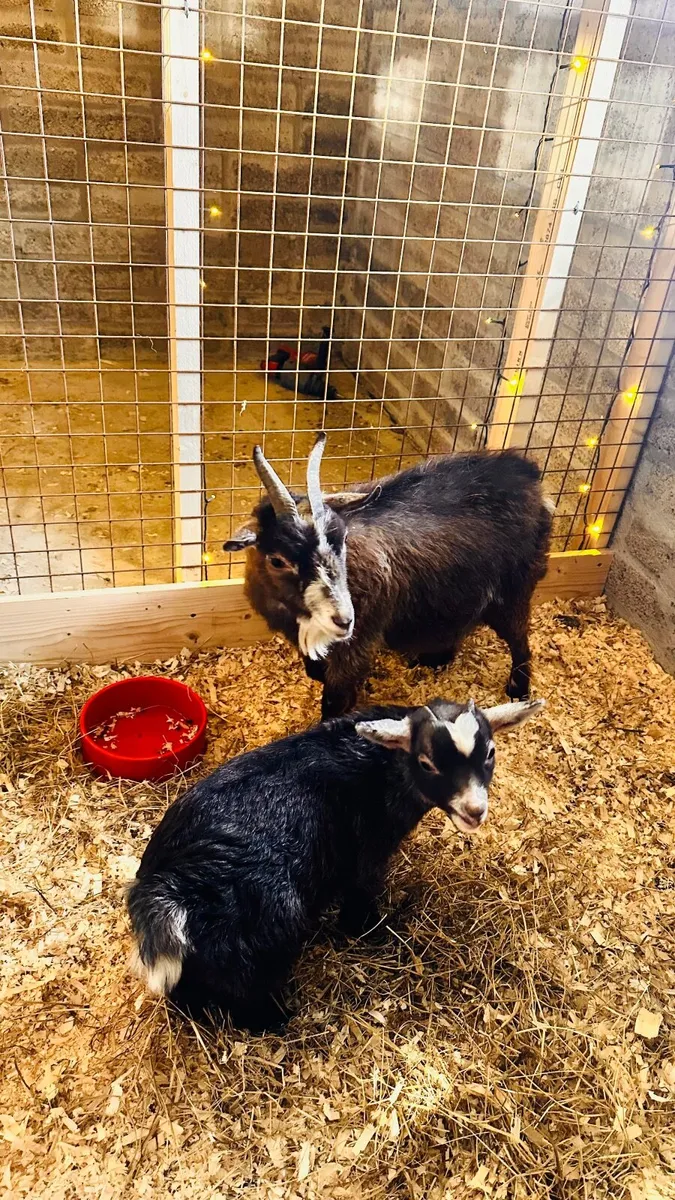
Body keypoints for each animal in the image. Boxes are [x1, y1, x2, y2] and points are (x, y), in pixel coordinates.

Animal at [128, 696, 544, 1030]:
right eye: (426, 763)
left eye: (490, 752)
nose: (474, 810)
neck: (383, 766)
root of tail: (169, 889)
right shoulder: (369, 849)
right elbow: (360, 899)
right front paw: (374, 929)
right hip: (263, 928)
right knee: (246, 990)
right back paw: (278, 1020)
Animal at [224, 435, 553, 718]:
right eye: (277, 560)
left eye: (342, 540)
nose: (344, 619)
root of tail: (527, 473)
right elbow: (314, 669)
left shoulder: (358, 641)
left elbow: (334, 698)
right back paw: (436, 659)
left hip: (515, 588)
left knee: (519, 638)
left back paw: (518, 690)